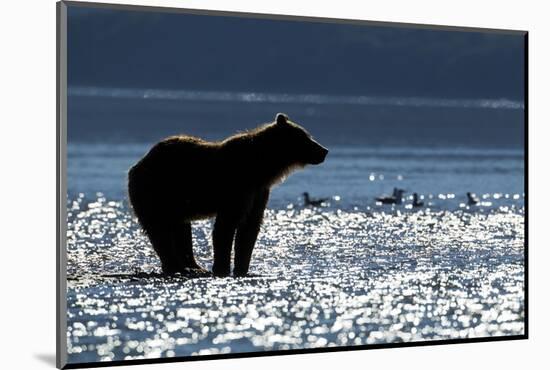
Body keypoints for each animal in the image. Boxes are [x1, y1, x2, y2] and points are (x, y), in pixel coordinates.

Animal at [127, 114, 330, 276]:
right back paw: (175, 266)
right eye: (305, 137)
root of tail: (139, 163)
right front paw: (222, 268)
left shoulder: (259, 192)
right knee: (159, 230)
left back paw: (192, 266)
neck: (263, 168)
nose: (324, 150)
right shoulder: (237, 188)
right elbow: (226, 226)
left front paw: (242, 268)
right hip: (155, 191)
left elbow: (249, 229)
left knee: (181, 230)